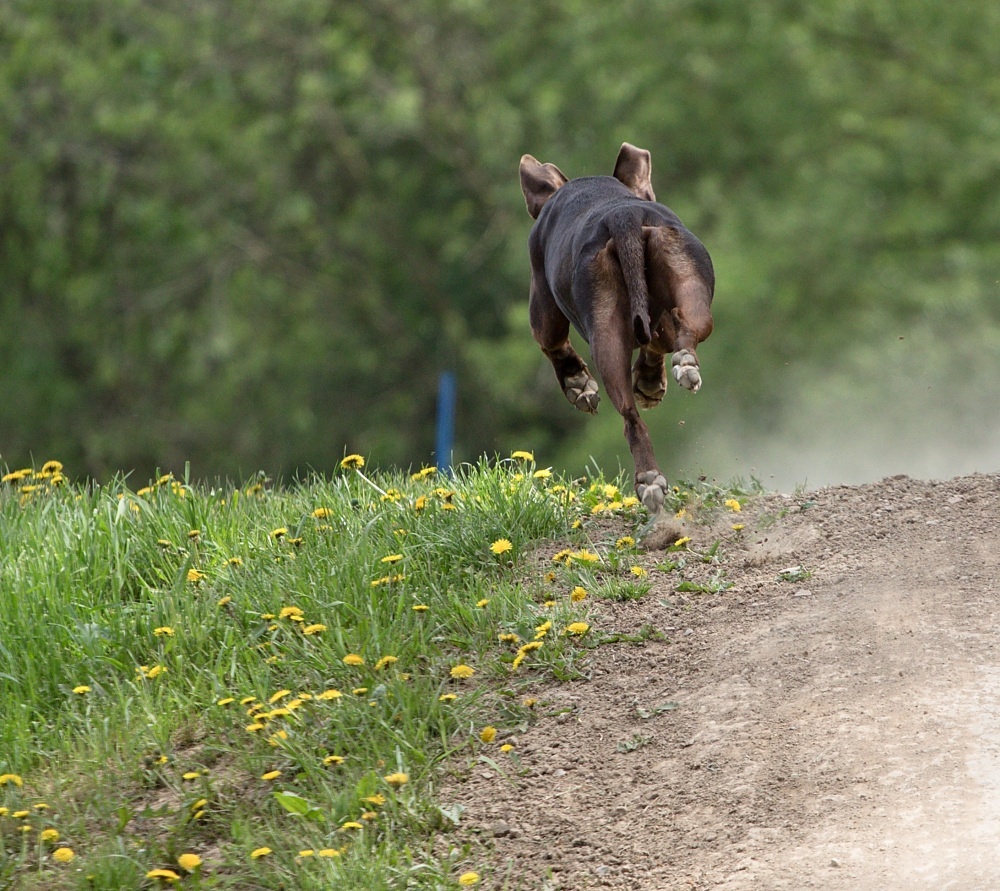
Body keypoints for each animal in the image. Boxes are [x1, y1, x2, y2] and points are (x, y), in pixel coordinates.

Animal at [520, 142, 716, 544]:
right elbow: (658, 342)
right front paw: (650, 379)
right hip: (693, 289)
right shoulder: (659, 322)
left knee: (629, 416)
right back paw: (685, 366)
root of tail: (623, 216)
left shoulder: (543, 306)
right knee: (686, 331)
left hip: (602, 331)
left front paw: (579, 384)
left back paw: (648, 480)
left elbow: (553, 346)